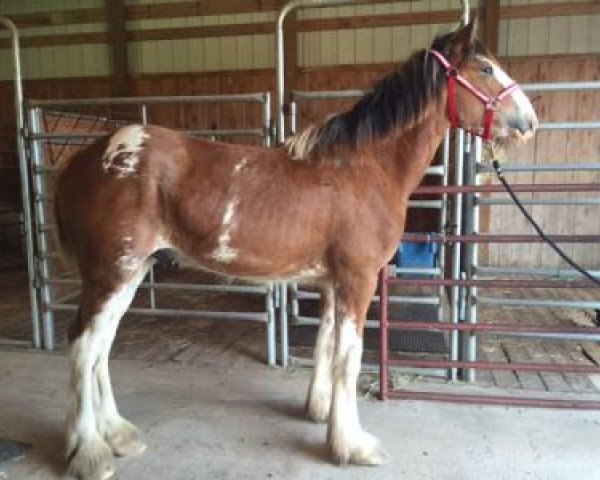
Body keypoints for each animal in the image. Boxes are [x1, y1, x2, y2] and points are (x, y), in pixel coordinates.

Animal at [54, 20, 536, 480]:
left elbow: (325, 346)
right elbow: (349, 357)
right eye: (486, 69)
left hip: (131, 273)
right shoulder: (358, 280)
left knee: (102, 346)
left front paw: (321, 413)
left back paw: (118, 434)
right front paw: (352, 445)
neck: (364, 168)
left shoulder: (331, 283)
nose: (530, 121)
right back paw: (90, 453)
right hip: (112, 272)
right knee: (83, 345)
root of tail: (86, 158)